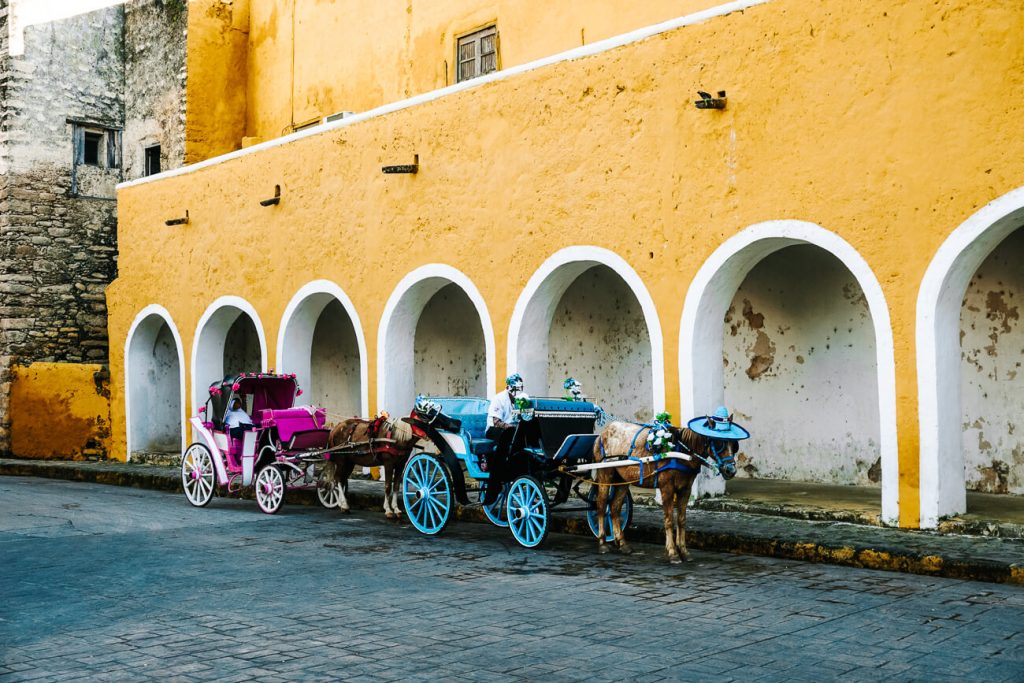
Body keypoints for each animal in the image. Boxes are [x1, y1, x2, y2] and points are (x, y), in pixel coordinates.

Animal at [593, 413, 745, 565]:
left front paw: (684, 551)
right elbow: (669, 520)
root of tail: (603, 433)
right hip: (605, 474)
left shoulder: (685, 490)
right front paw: (672, 553)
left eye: (734, 444)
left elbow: (681, 520)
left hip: (623, 479)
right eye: (719, 442)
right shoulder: (666, 488)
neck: (681, 452)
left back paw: (623, 544)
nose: (730, 470)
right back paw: (602, 543)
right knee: (601, 505)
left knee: (614, 507)